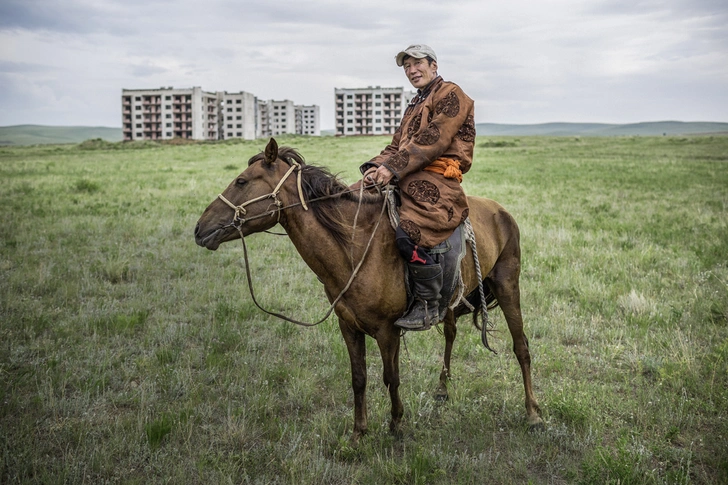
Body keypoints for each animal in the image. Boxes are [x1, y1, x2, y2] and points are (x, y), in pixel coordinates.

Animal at [193, 136, 540, 442]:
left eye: (241, 181)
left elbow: (391, 377)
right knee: (451, 335)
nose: (199, 229)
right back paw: (442, 390)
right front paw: (359, 431)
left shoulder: (388, 330)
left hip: (508, 285)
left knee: (521, 347)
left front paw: (396, 424)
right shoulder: (348, 326)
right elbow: (358, 378)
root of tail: (501, 212)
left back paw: (533, 413)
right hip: (452, 299)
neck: (355, 248)